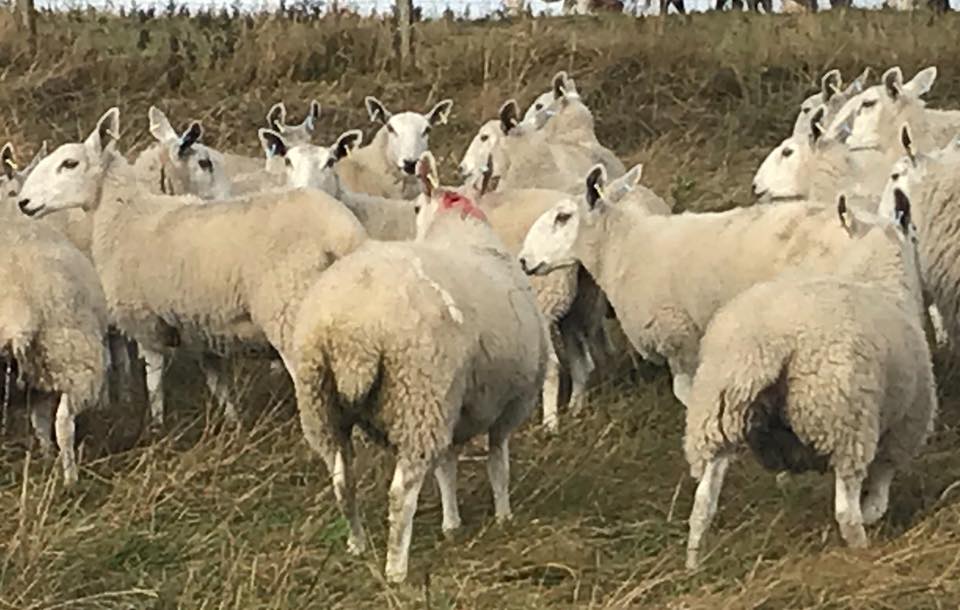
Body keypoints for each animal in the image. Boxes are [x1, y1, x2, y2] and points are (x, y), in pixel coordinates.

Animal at [17, 108, 368, 433]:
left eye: (69, 164)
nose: (23, 202)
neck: (126, 215)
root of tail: (341, 233)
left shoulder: (145, 321)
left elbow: (154, 379)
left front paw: (158, 425)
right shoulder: (203, 327)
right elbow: (218, 384)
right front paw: (233, 425)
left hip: (290, 314)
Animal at [290, 151, 549, 583]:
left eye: (414, 208)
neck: (461, 229)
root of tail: (350, 331)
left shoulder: (454, 407)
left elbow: (446, 467)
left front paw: (451, 523)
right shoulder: (510, 403)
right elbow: (498, 464)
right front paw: (503, 516)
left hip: (321, 404)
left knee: (343, 482)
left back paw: (357, 544)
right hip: (418, 395)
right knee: (401, 493)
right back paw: (396, 569)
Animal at [519, 164, 912, 408]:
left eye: (563, 217)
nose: (523, 259)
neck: (626, 249)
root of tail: (881, 233)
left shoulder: (681, 336)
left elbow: (685, 393)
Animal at [683, 192, 935, 570]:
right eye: (915, 235)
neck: (877, 280)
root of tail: (770, 345)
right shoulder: (903, 429)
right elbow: (879, 496)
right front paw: (873, 515)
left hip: (714, 420)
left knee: (702, 507)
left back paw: (693, 566)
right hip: (847, 425)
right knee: (846, 512)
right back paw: (862, 552)